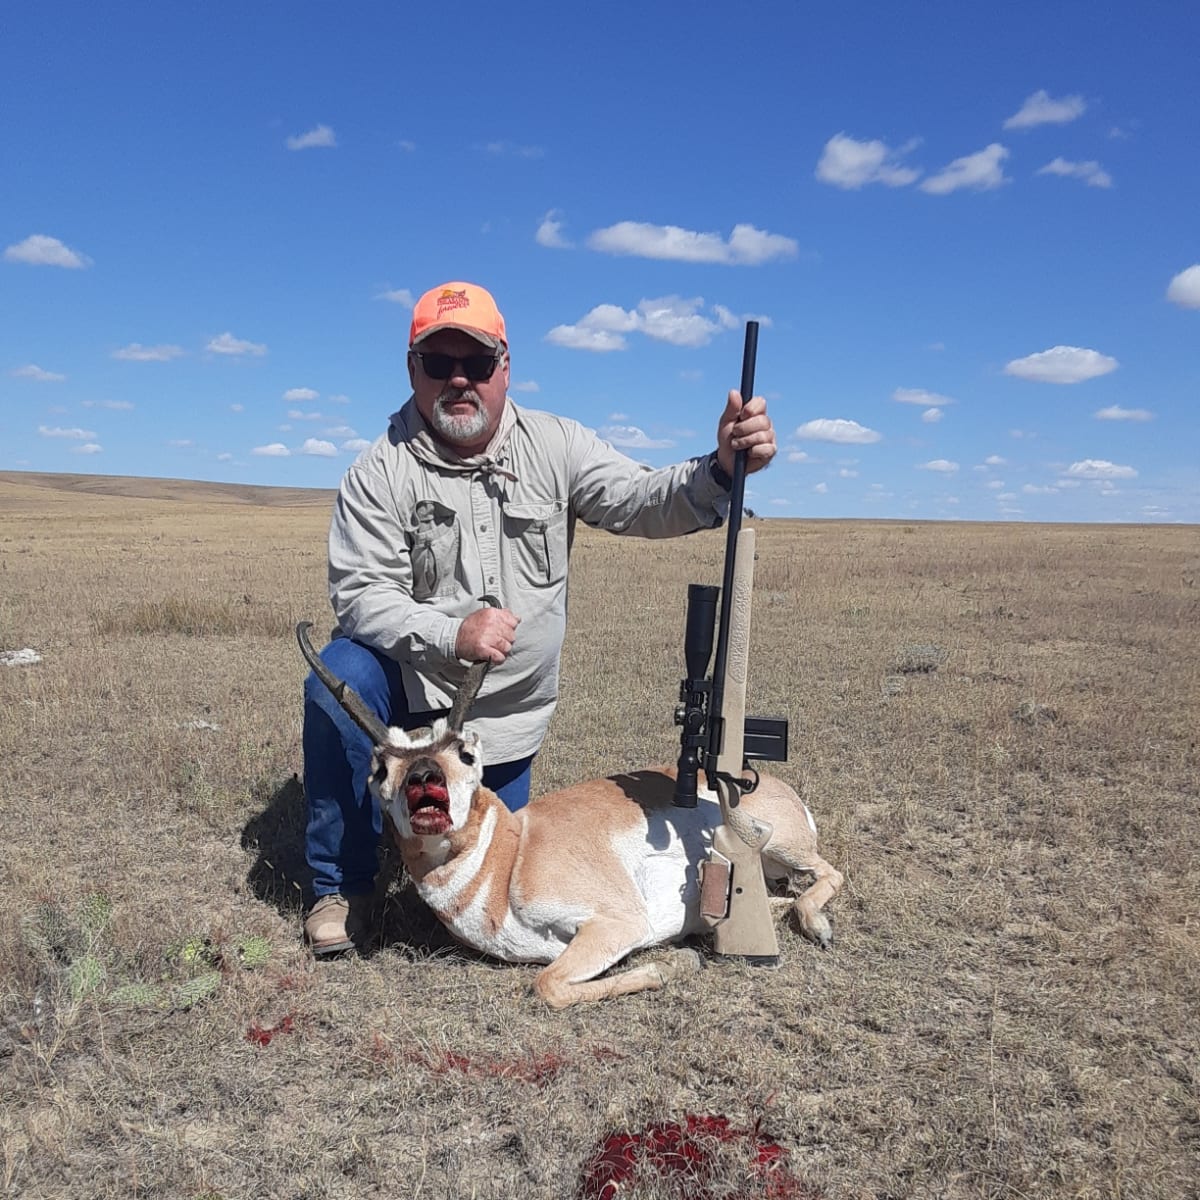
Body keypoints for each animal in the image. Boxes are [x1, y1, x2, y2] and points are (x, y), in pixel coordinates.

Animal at [300, 624, 844, 1008]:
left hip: (781, 844)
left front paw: (674, 965)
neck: (510, 855)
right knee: (782, 898)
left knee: (829, 873)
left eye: (465, 753)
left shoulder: (617, 924)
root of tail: (766, 782)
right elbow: (548, 980)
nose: (423, 775)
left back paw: (815, 926)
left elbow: (547, 985)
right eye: (380, 767)